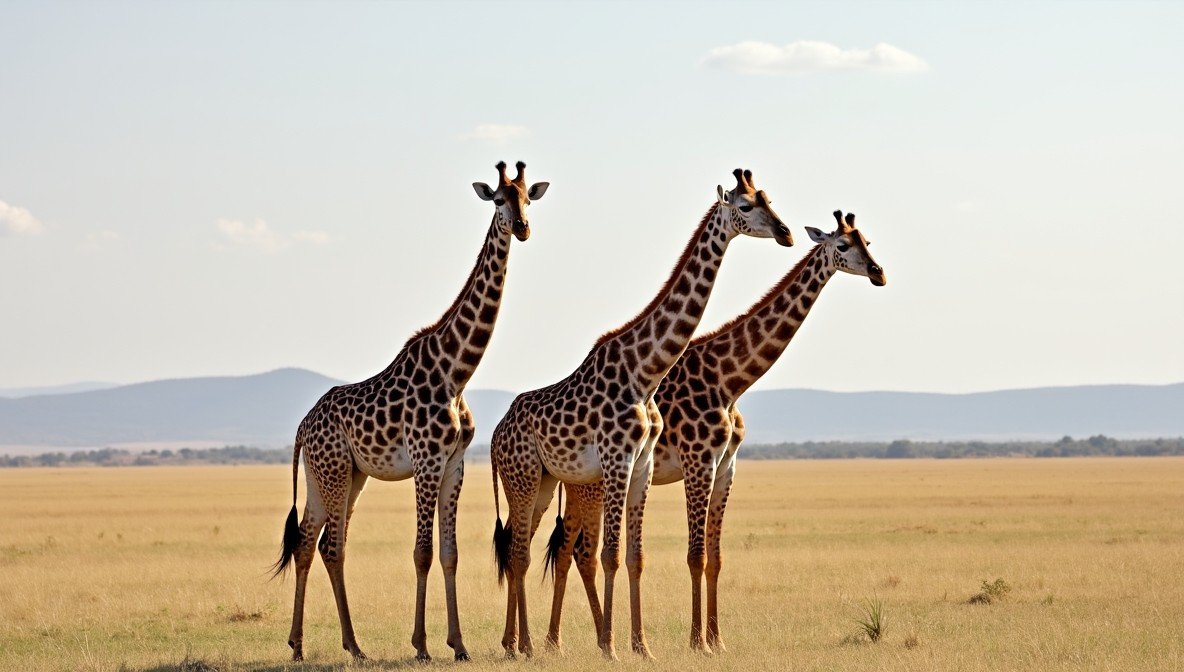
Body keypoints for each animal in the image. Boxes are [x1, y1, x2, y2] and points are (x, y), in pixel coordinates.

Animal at [270, 161, 549, 662]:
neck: (456, 372)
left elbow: (450, 553)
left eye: (528, 199)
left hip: (337, 475)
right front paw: (421, 645)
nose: (522, 227)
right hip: (335, 471)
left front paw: (459, 645)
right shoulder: (425, 461)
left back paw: (302, 645)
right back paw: (351, 646)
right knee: (331, 546)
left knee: (307, 542)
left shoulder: (455, 464)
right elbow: (421, 552)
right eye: (499, 199)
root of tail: (303, 426)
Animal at [489, 169, 793, 660]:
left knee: (524, 550)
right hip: (526, 478)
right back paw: (528, 646)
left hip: (544, 483)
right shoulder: (620, 460)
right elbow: (610, 555)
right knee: (522, 553)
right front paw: (611, 647)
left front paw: (641, 646)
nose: (786, 232)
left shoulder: (643, 464)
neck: (644, 371)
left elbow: (635, 556)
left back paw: (515, 643)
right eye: (746, 206)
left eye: (769, 197)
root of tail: (496, 435)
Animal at [544, 210, 887, 653]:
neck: (729, 381)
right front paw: (697, 642)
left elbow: (717, 558)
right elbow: (696, 555)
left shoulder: (727, 466)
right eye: (844, 245)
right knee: (572, 550)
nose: (879, 273)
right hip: (589, 485)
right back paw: (559, 642)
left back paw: (581, 638)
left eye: (868, 241)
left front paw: (717, 640)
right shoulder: (698, 462)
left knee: (576, 552)